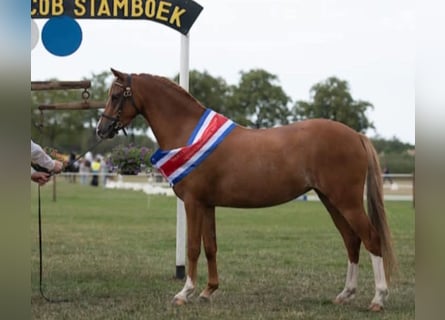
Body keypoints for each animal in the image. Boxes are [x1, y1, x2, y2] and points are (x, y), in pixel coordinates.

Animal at [97, 69, 396, 312]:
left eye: (115, 95)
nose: (101, 129)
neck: (188, 132)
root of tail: (356, 135)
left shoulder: (193, 203)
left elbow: (193, 247)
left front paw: (185, 293)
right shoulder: (208, 205)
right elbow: (211, 246)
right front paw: (208, 291)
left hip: (346, 201)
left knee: (371, 238)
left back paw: (378, 299)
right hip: (331, 201)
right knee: (351, 240)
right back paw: (346, 294)